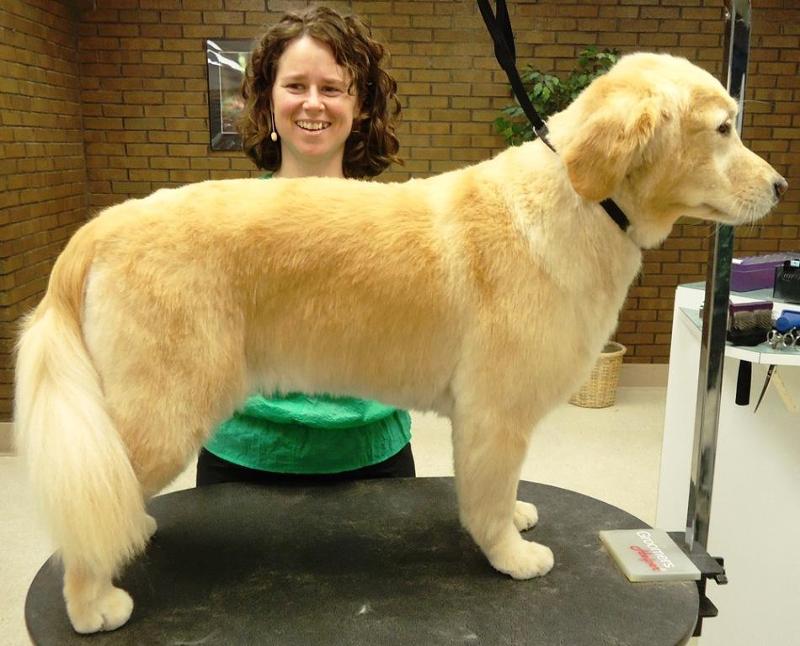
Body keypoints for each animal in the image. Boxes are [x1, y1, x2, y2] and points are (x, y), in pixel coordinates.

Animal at [14, 53, 788, 636]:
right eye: (724, 128)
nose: (782, 186)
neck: (582, 201)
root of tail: (101, 226)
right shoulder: (495, 414)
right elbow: (486, 499)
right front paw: (511, 554)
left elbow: (504, 491)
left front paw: (517, 518)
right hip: (166, 406)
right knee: (87, 510)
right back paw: (93, 604)